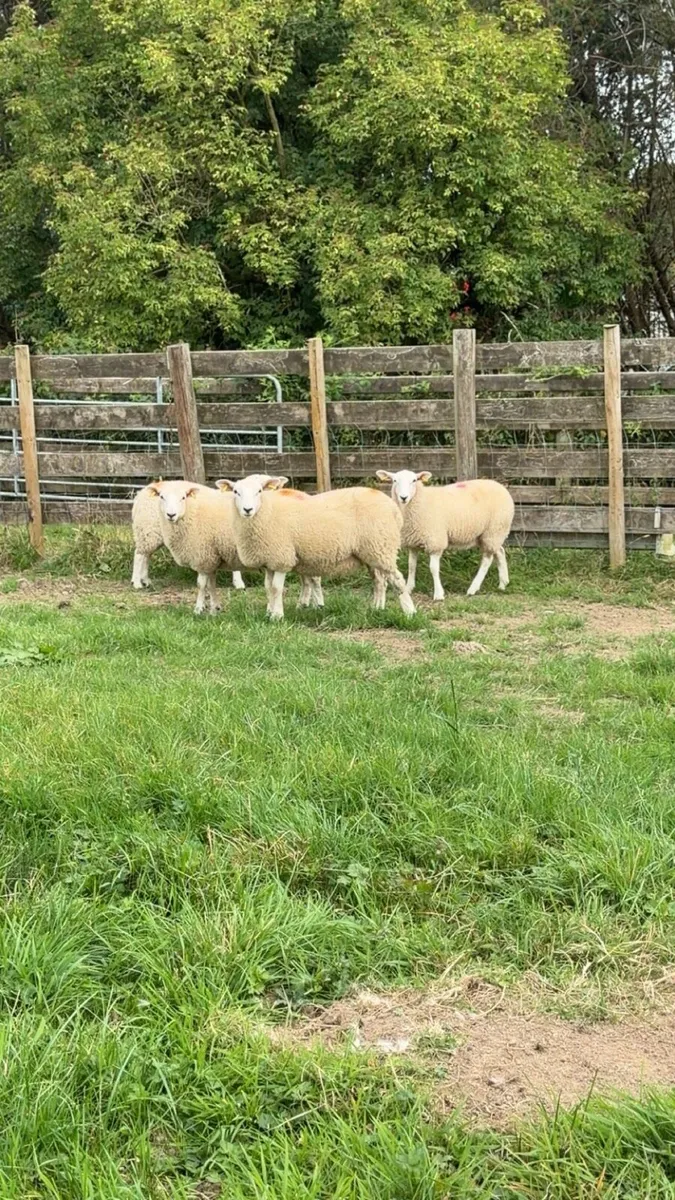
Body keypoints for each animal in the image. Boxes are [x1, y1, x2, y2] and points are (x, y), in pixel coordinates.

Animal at [140, 481, 247, 614]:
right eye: (161, 497)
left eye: (183, 497)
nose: (171, 514)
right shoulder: (210, 555)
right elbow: (209, 583)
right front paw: (212, 607)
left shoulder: (205, 554)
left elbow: (202, 583)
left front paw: (200, 608)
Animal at [216, 474, 415, 620]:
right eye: (236, 492)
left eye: (259, 491)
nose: (247, 510)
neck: (267, 511)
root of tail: (393, 508)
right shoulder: (269, 560)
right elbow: (267, 588)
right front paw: (270, 612)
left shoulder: (282, 557)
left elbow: (276, 588)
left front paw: (277, 616)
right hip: (371, 552)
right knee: (379, 581)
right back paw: (376, 609)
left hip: (382, 547)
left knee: (398, 579)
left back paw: (410, 611)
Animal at [376, 470, 514, 599]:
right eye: (394, 480)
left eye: (414, 480)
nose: (403, 497)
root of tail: (501, 487)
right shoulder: (413, 543)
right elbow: (411, 566)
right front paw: (409, 588)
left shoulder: (435, 542)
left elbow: (433, 568)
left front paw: (438, 594)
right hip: (490, 534)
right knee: (500, 552)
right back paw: (503, 584)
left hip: (494, 530)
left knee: (487, 560)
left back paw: (473, 588)